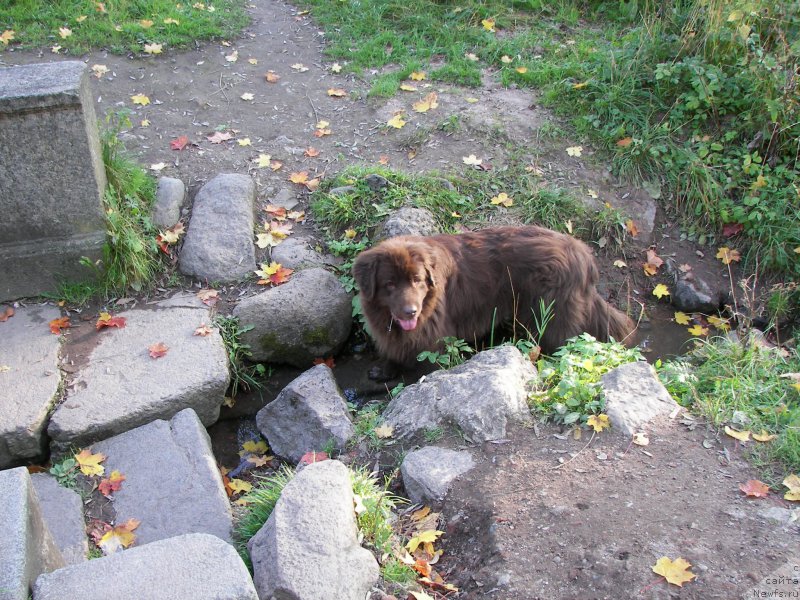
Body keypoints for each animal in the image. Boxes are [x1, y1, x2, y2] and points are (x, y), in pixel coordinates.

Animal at [354, 225, 636, 380]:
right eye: (390, 284)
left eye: (417, 280)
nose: (410, 311)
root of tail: (583, 253)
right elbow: (395, 348)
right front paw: (384, 371)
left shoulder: (435, 338)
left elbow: (429, 363)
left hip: (550, 313)